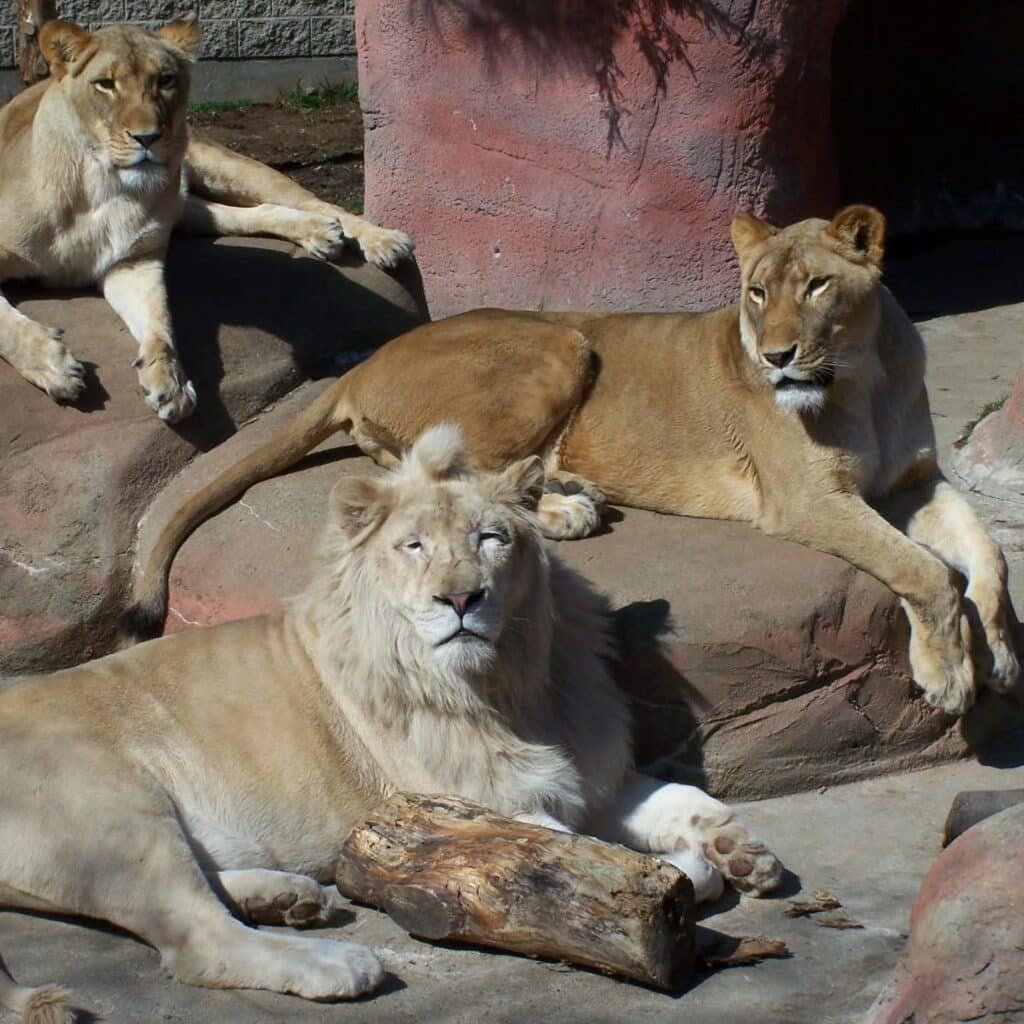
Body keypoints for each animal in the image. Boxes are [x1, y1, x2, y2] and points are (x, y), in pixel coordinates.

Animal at [0, 14, 412, 421]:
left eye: (165, 80)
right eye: (106, 84)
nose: (148, 138)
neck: (103, 185)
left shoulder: (135, 259)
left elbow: (160, 322)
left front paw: (169, 381)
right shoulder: (124, 262)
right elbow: (5, 322)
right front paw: (56, 366)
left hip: (222, 168)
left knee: (315, 202)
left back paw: (380, 239)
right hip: (185, 210)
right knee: (252, 213)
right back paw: (320, 233)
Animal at [0, 426, 781, 1020]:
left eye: (492, 539)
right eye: (414, 547)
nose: (462, 598)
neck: (509, 685)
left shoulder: (588, 772)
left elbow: (679, 798)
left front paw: (741, 851)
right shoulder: (476, 811)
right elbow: (598, 854)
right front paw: (687, 873)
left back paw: (293, 899)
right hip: (114, 811)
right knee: (195, 940)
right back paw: (337, 964)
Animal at [125, 206, 1020, 716]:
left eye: (819, 286)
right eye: (757, 293)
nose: (774, 357)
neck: (865, 375)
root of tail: (360, 364)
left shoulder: (915, 482)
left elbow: (986, 553)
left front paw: (1005, 652)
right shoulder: (807, 500)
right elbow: (922, 571)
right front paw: (949, 676)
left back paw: (567, 491)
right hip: (560, 342)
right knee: (456, 475)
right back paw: (565, 508)